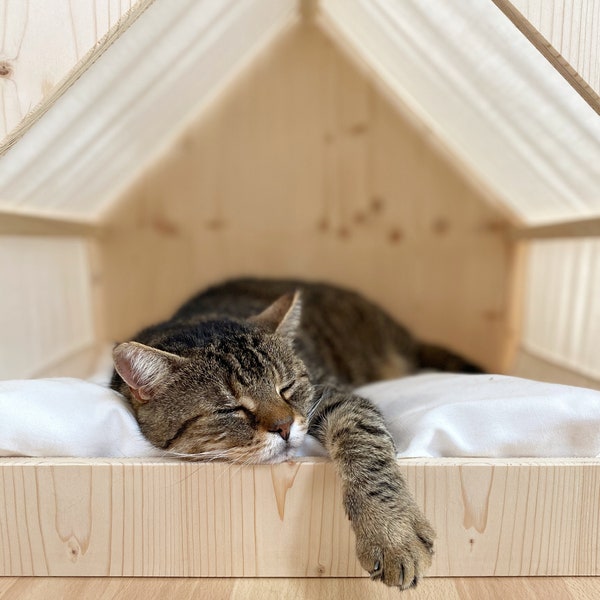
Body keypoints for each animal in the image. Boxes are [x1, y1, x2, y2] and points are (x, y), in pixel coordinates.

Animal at [110, 278, 480, 592]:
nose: (284, 426)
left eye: (286, 387)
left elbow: (365, 442)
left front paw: (391, 535)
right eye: (230, 409)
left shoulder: (333, 394)